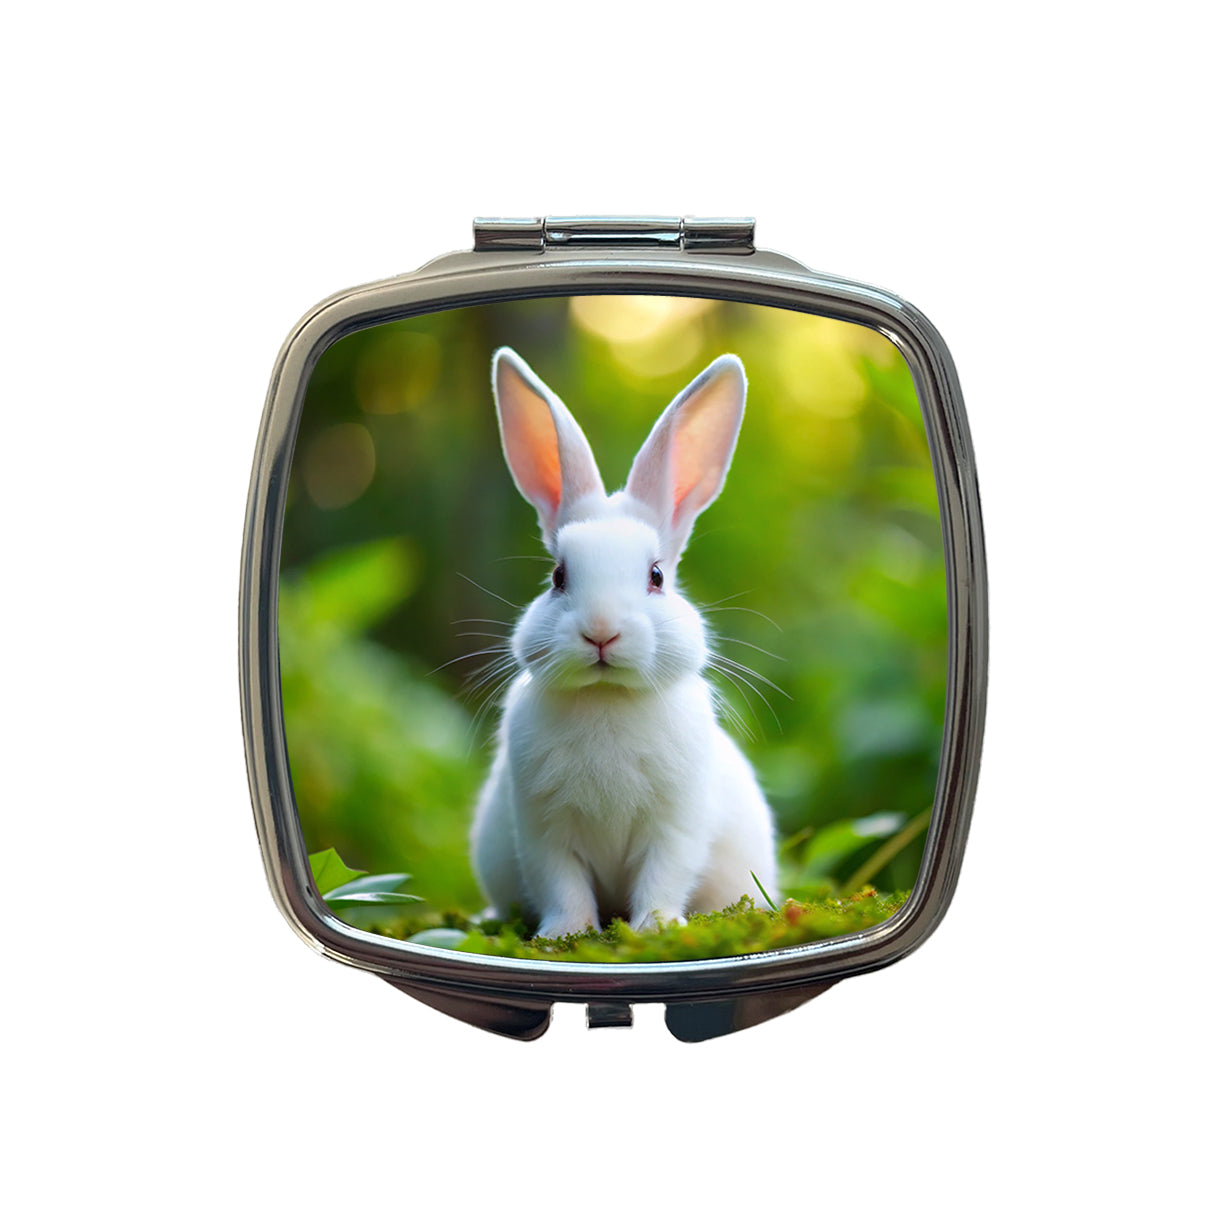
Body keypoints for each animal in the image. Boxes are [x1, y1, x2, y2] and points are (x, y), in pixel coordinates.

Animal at [470, 346, 777, 939]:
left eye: (656, 576)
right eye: (558, 577)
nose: (601, 632)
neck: (606, 698)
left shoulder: (674, 826)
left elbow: (662, 877)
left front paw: (657, 930)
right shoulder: (543, 830)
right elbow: (562, 885)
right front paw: (565, 936)